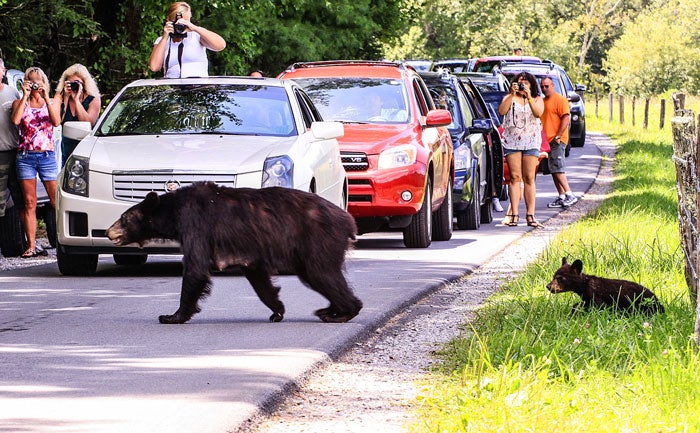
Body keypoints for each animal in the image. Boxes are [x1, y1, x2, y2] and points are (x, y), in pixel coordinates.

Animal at [108, 181, 366, 322]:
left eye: (124, 218)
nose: (109, 232)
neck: (174, 211)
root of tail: (349, 221)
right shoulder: (249, 250)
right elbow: (258, 277)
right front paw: (277, 310)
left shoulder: (196, 224)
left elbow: (195, 268)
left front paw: (172, 316)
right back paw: (331, 309)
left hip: (318, 240)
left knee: (322, 274)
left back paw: (342, 312)